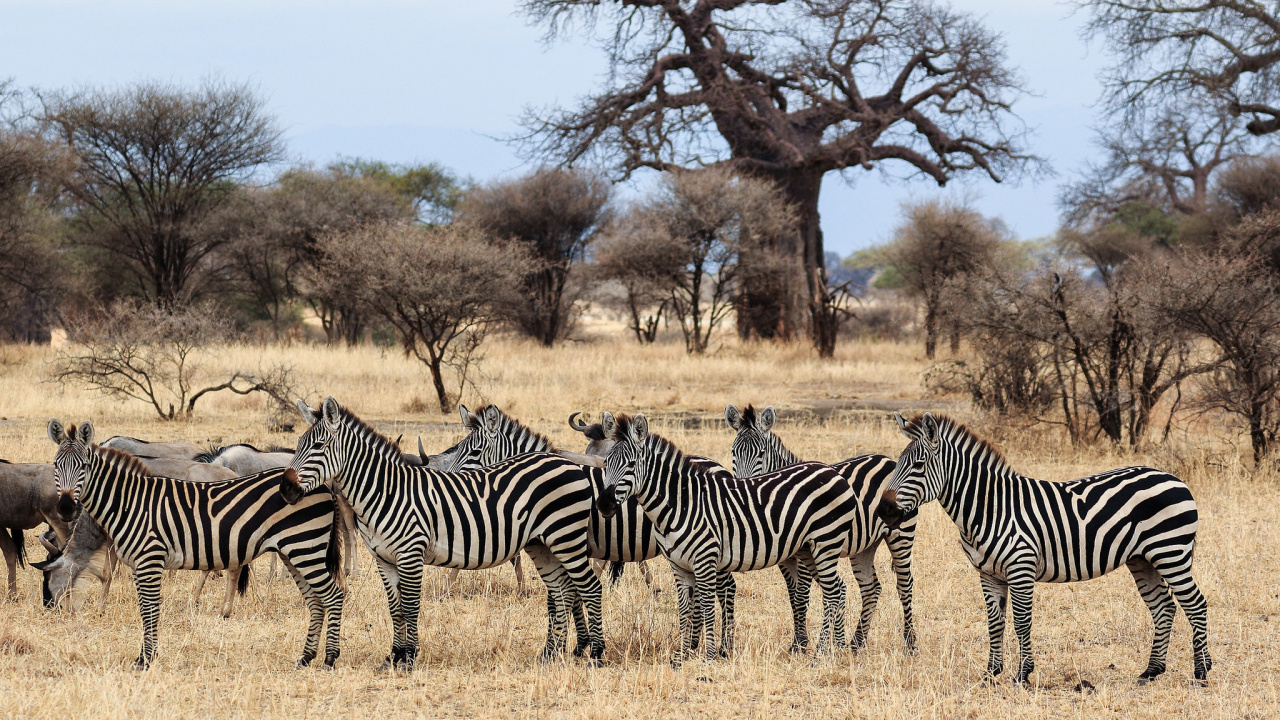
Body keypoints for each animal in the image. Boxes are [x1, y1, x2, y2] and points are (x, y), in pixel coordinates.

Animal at [47, 419, 345, 670]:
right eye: (55, 465)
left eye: (83, 467)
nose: (65, 507)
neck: (129, 502)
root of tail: (322, 487)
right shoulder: (139, 564)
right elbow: (144, 606)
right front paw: (145, 656)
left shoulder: (149, 559)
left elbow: (149, 609)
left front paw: (147, 659)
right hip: (293, 552)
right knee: (315, 600)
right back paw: (305, 657)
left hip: (305, 547)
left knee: (334, 595)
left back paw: (329, 659)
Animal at [279, 397, 606, 670]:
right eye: (298, 444)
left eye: (319, 446)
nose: (285, 490)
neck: (386, 491)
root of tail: (566, 462)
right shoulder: (384, 559)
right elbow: (395, 608)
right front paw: (393, 657)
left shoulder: (410, 553)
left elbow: (411, 606)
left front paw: (409, 658)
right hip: (543, 545)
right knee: (562, 591)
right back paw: (550, 655)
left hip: (566, 538)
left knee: (590, 587)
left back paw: (596, 655)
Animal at [598, 412, 861, 664]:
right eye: (606, 463)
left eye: (631, 464)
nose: (604, 504)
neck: (681, 505)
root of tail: (833, 472)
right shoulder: (679, 566)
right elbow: (683, 610)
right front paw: (681, 656)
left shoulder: (705, 560)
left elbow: (706, 607)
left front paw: (709, 656)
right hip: (808, 549)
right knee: (838, 588)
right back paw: (835, 647)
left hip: (826, 543)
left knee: (832, 593)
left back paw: (820, 654)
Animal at [724, 404, 917, 653]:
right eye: (733, 452)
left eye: (761, 454)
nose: (742, 486)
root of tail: (888, 459)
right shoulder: (786, 557)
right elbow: (793, 596)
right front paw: (800, 642)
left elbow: (801, 595)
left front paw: (802, 644)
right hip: (864, 545)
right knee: (871, 588)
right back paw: (857, 642)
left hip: (901, 535)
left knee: (905, 584)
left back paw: (910, 644)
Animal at [877, 412, 1212, 685]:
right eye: (898, 464)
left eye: (918, 465)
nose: (883, 510)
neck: (990, 508)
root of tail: (1175, 478)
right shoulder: (988, 574)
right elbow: (995, 623)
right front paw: (991, 673)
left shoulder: (1020, 567)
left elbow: (1022, 622)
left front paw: (1022, 675)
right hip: (1143, 559)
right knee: (1164, 607)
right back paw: (1152, 671)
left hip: (1171, 553)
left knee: (1195, 604)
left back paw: (1201, 672)